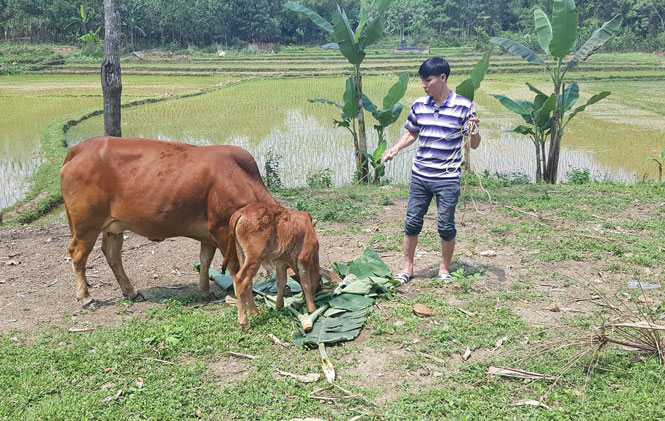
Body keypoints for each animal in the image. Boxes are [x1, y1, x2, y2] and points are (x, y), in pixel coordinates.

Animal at [62, 137, 278, 306]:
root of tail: (80, 149)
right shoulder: (222, 228)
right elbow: (234, 266)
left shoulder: (209, 234)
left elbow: (205, 261)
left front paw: (205, 291)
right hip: (86, 225)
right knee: (78, 254)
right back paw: (85, 297)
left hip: (114, 226)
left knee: (112, 254)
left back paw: (131, 292)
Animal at [222, 202, 338, 330]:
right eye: (319, 284)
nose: (316, 291)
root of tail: (242, 211)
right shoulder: (304, 259)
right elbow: (306, 283)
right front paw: (312, 309)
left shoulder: (281, 262)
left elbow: (281, 282)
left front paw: (279, 305)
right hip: (255, 258)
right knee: (240, 280)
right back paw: (244, 322)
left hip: (242, 255)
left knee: (248, 283)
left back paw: (255, 312)